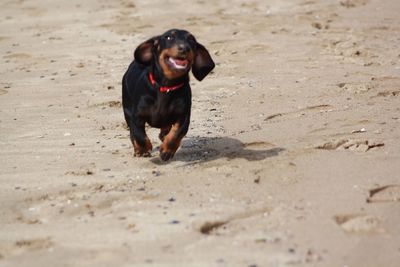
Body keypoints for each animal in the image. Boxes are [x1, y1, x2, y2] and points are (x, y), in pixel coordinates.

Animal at [122, 30, 216, 162]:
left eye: (191, 40)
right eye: (168, 37)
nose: (184, 48)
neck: (167, 86)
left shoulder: (183, 116)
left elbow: (176, 134)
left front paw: (167, 151)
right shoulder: (136, 115)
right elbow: (138, 134)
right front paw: (144, 149)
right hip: (127, 109)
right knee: (132, 133)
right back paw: (138, 150)